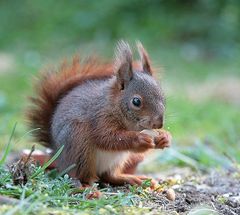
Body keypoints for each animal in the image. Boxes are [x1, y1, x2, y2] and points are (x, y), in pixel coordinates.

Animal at [27, 41, 172, 187]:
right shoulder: (99, 117)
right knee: (81, 178)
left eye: (163, 97)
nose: (158, 124)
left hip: (117, 159)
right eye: (136, 101)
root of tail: (55, 155)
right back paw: (88, 188)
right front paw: (139, 139)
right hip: (78, 145)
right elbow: (106, 137)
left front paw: (164, 137)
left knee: (109, 175)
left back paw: (131, 178)